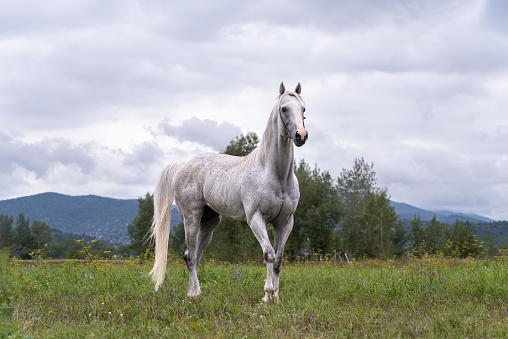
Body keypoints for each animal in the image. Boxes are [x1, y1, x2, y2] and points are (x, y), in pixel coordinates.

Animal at [149, 81, 308, 302]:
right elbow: (268, 254)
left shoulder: (285, 222)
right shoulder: (255, 218)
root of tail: (183, 165)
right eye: (284, 108)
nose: (301, 136)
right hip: (191, 218)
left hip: (209, 222)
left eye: (303, 109)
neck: (275, 174)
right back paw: (193, 295)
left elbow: (278, 259)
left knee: (196, 256)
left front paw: (275, 297)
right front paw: (266, 295)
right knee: (189, 256)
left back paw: (195, 292)